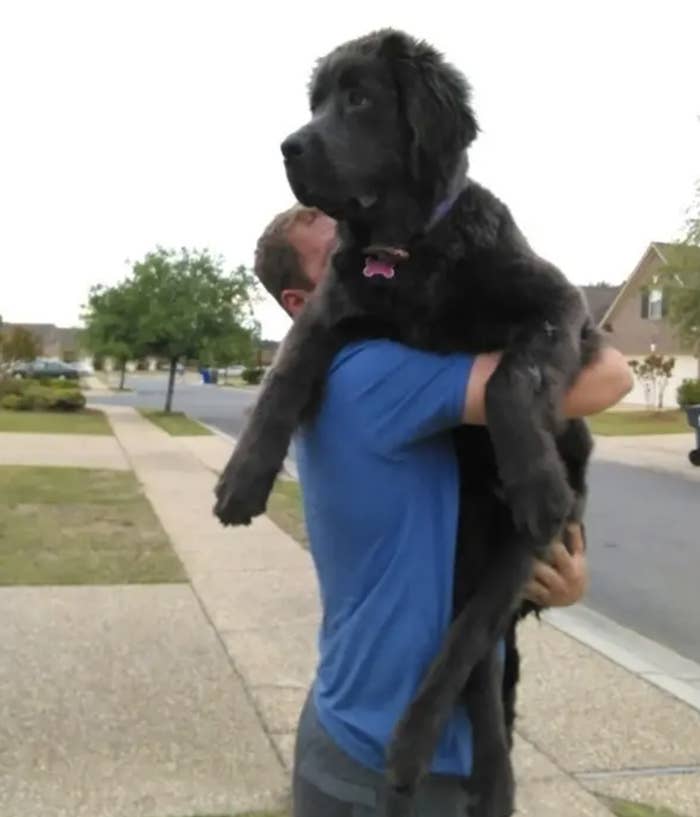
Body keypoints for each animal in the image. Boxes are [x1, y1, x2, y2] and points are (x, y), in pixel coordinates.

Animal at [216, 28, 600, 812]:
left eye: (360, 99)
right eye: (316, 102)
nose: (288, 146)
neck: (410, 251)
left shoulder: (558, 304)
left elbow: (513, 376)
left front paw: (535, 477)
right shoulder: (336, 311)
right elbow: (284, 376)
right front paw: (244, 477)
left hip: (515, 552)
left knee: (469, 643)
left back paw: (424, 745)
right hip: (462, 552)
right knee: (477, 670)